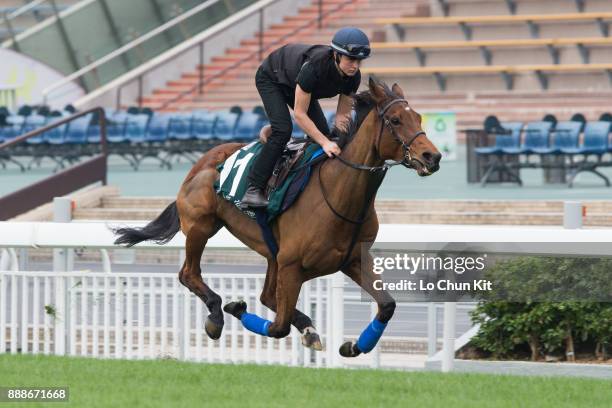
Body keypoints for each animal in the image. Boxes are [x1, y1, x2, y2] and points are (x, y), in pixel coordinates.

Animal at [113, 76, 440, 356]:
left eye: (418, 117)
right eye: (395, 120)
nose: (432, 157)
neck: (338, 193)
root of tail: (200, 164)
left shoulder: (352, 259)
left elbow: (387, 305)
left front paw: (353, 346)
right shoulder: (292, 264)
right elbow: (278, 327)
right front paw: (237, 308)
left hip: (271, 252)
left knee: (266, 296)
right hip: (201, 226)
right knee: (189, 274)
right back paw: (217, 314)